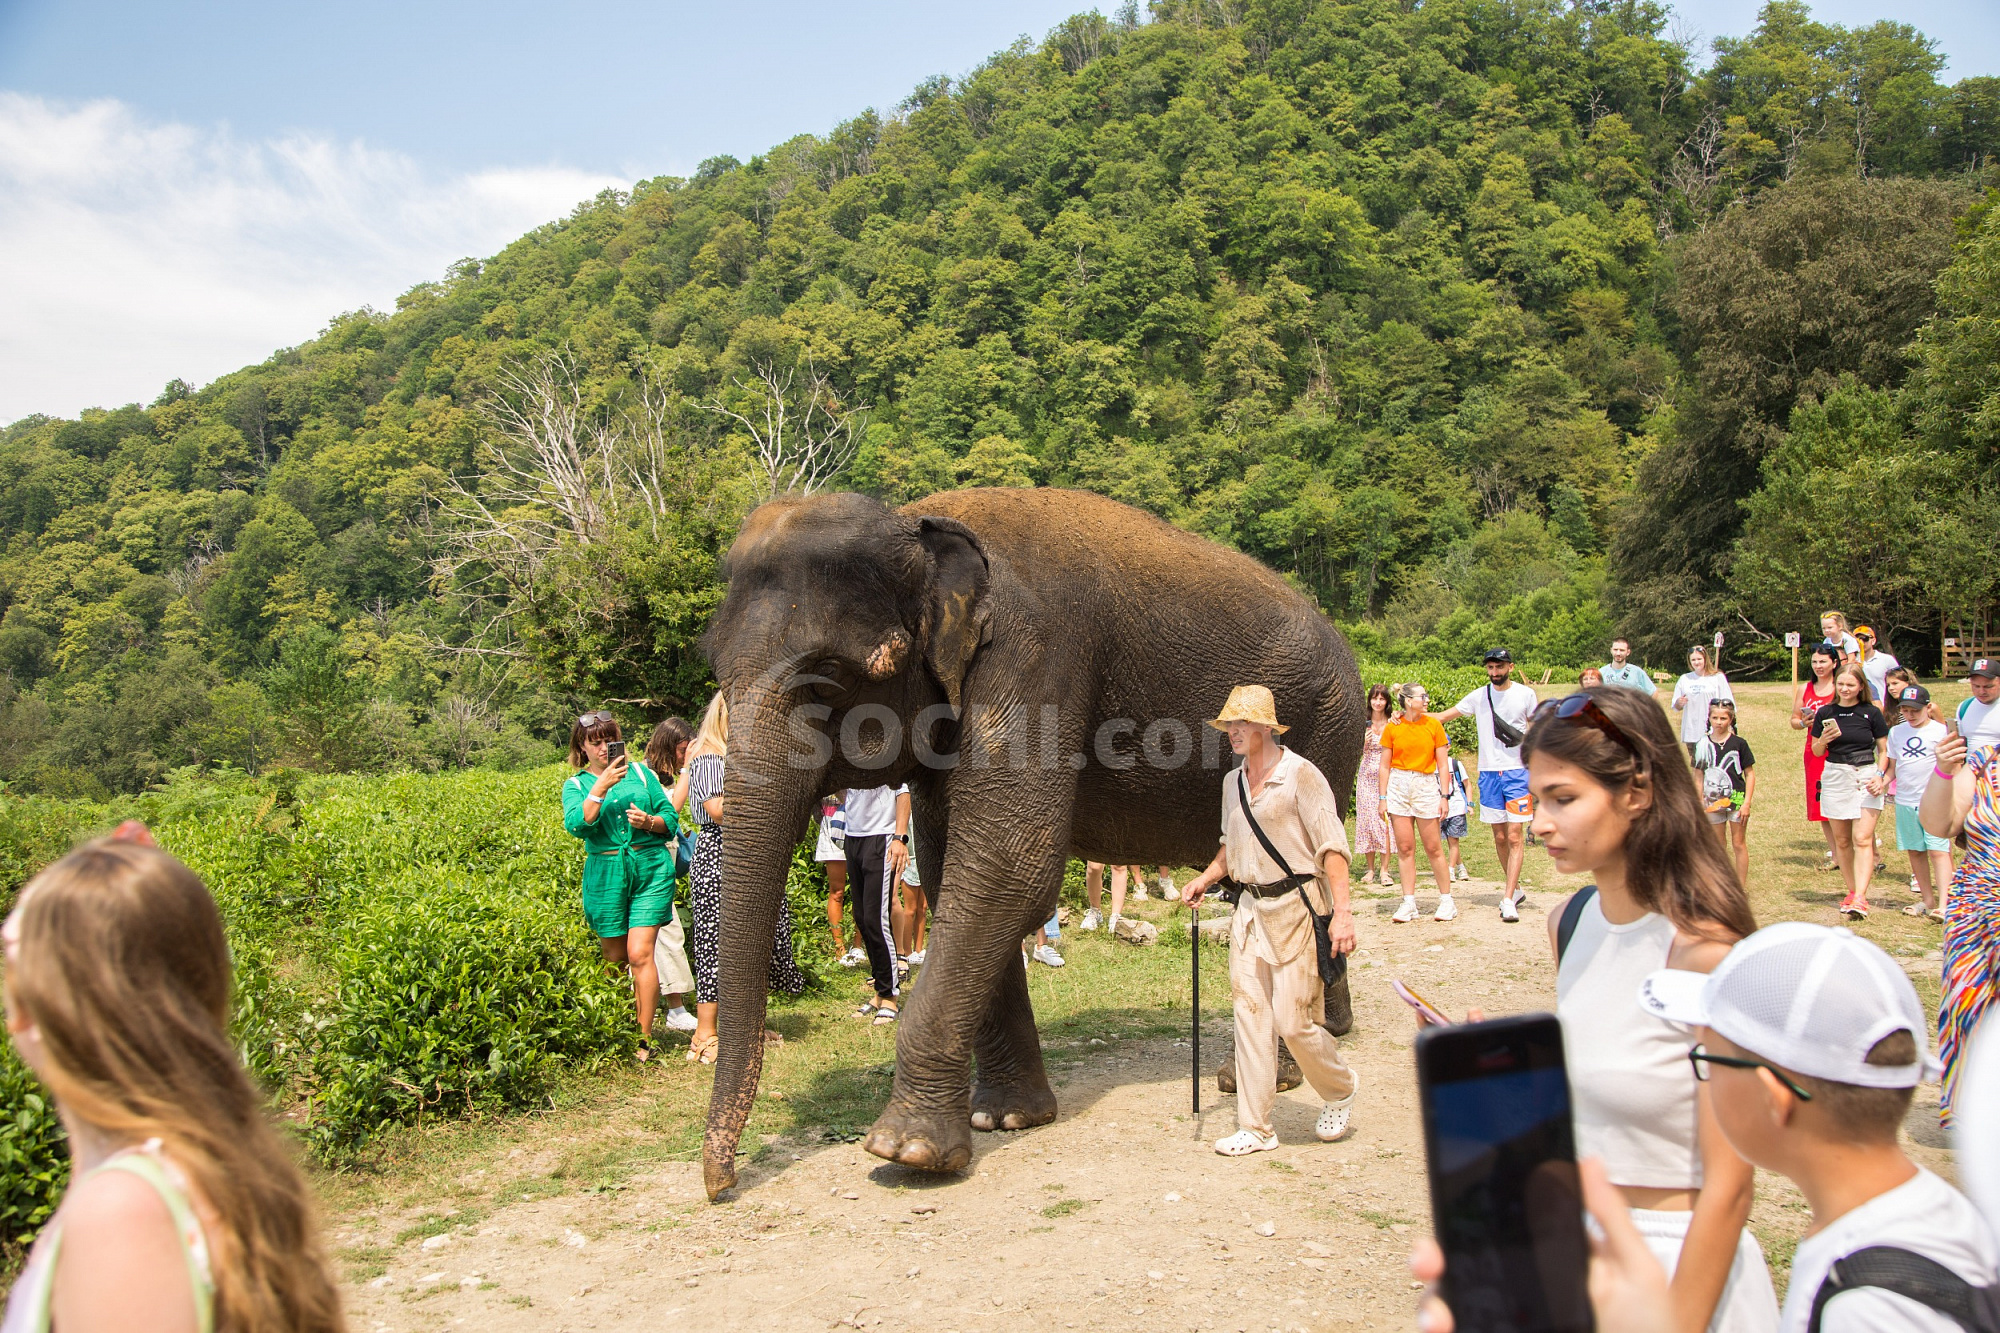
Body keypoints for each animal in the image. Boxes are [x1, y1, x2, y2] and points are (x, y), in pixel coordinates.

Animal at [696, 486, 1368, 1192]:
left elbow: (1009, 866)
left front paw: (905, 1152)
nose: (722, 1184)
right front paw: (1007, 1119)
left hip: (1325, 727)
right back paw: (1332, 1030)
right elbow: (954, 872)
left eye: (826, 677)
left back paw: (1266, 1075)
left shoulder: (1034, 655)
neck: (914, 527)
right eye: (712, 666)